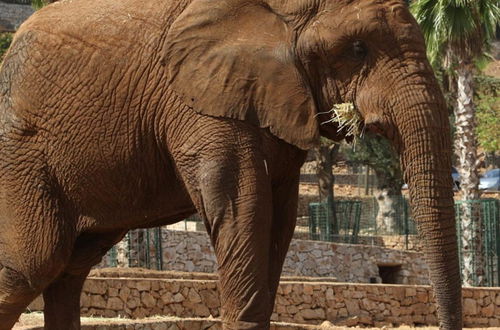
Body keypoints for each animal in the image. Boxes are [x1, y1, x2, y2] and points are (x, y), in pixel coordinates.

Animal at [0, 0, 460, 328]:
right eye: (358, 48)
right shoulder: (199, 97)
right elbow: (243, 206)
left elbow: (279, 220)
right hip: (22, 155)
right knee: (35, 263)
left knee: (69, 269)